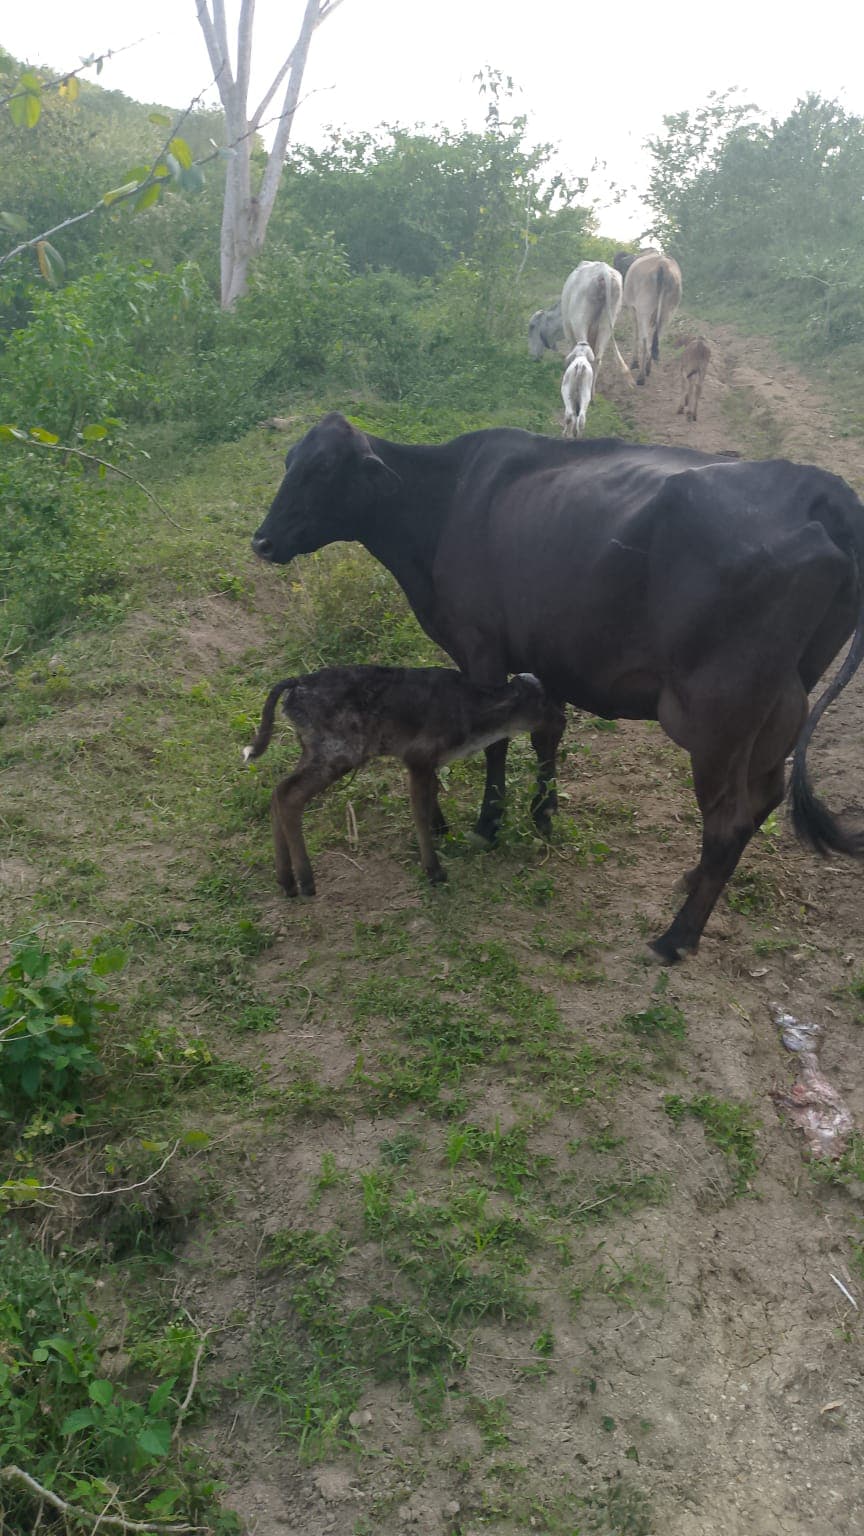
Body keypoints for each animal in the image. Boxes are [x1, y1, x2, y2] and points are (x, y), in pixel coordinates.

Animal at [243, 667, 565, 893]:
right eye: (545, 703)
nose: (562, 720)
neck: (474, 715)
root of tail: (296, 683)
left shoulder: (430, 763)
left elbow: (432, 796)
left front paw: (442, 833)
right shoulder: (418, 757)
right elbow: (419, 810)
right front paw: (434, 870)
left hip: (314, 751)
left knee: (278, 791)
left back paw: (286, 881)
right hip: (337, 751)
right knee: (289, 796)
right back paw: (306, 881)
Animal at [621, 253, 683, 384]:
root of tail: (663, 264)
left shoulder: (633, 310)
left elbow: (636, 336)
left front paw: (634, 363)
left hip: (644, 310)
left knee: (644, 341)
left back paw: (641, 377)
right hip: (668, 312)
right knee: (657, 338)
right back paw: (648, 368)